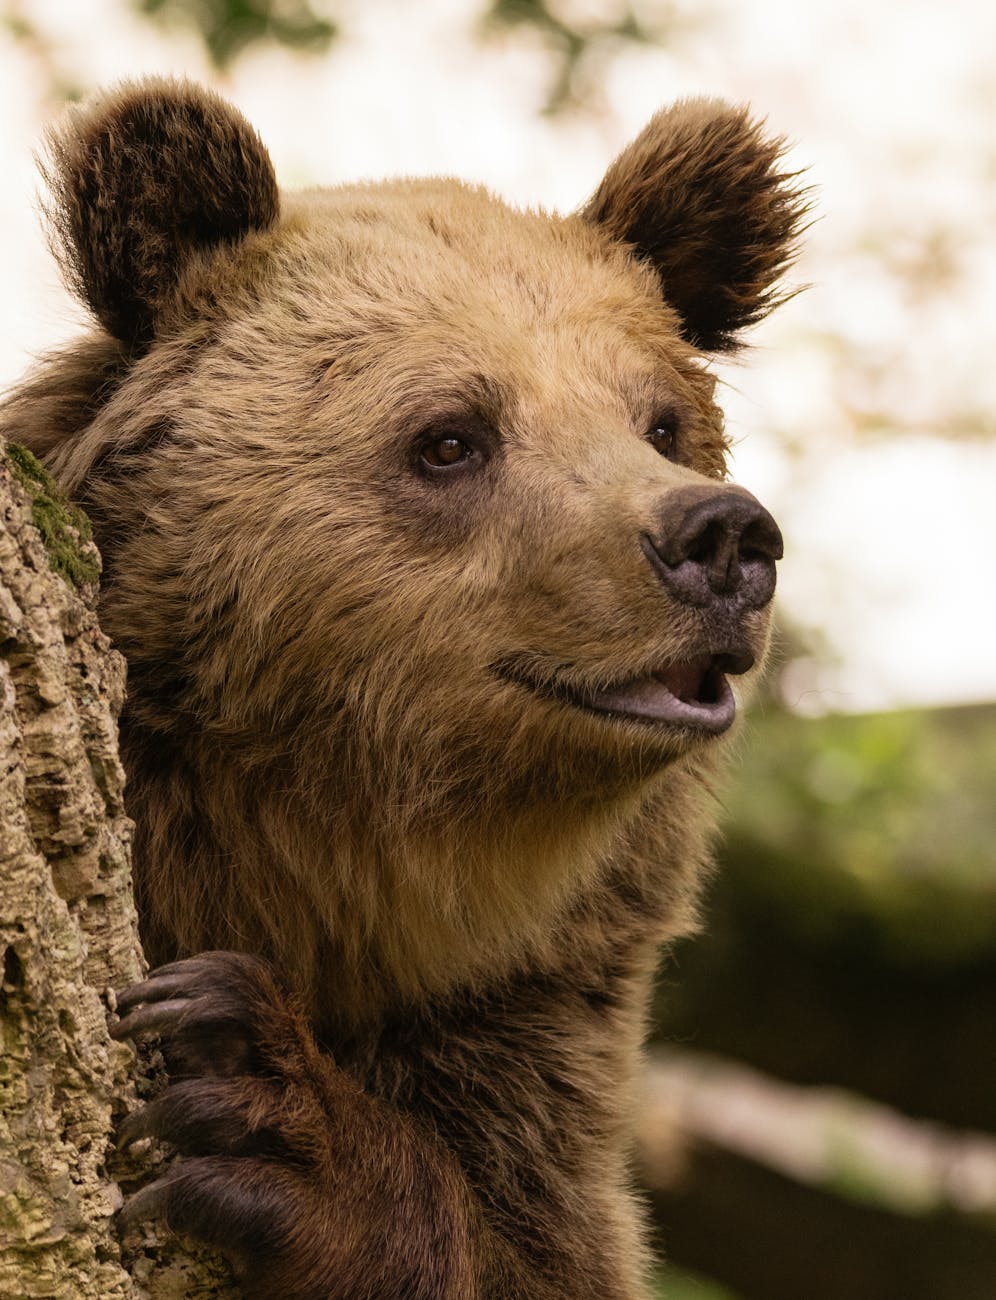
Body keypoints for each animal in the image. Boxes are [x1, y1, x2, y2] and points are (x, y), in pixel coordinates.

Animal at [2, 80, 804, 1298]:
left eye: (663, 422)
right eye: (449, 436)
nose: (719, 536)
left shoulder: (518, 1024)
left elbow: (531, 1243)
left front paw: (256, 1102)